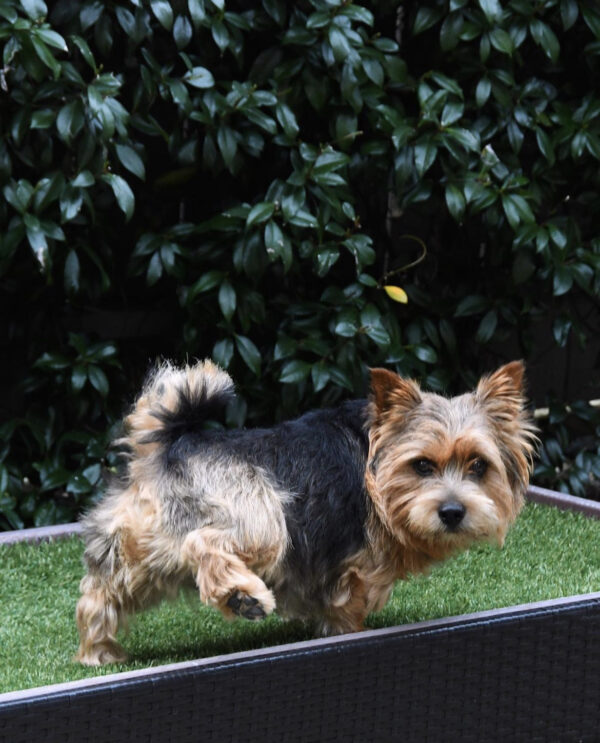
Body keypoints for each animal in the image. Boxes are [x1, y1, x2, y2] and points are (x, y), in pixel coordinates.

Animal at [72, 358, 536, 664]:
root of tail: (173, 444)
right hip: (261, 516)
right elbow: (346, 611)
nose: (452, 511)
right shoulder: (353, 571)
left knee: (99, 593)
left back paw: (100, 652)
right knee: (204, 542)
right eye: (422, 465)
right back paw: (243, 595)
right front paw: (352, 635)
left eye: (479, 465)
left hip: (137, 552)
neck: (377, 465)